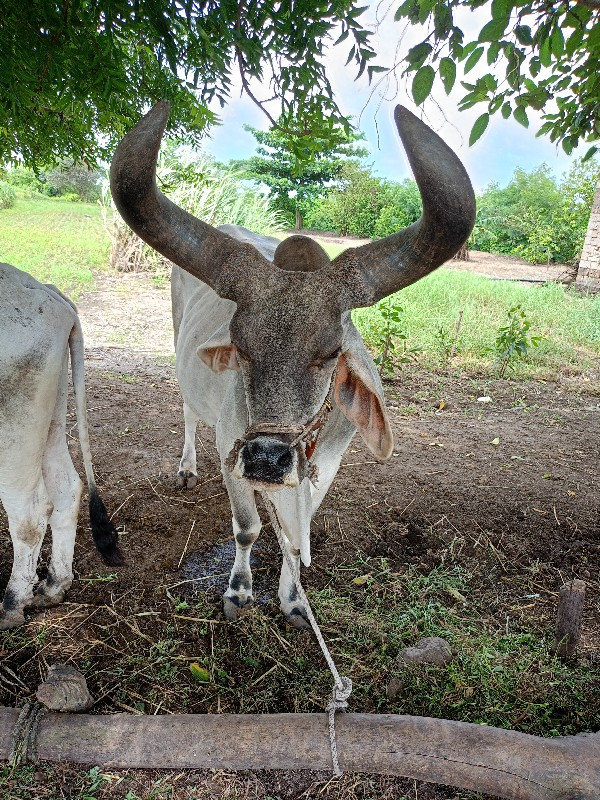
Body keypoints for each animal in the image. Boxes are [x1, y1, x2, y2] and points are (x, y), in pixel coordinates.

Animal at [0, 266, 122, 628]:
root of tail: (47, 291)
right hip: (50, 420)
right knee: (67, 488)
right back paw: (54, 584)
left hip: (16, 430)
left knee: (30, 514)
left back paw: (13, 603)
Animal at [112, 101, 476, 624]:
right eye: (241, 347)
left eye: (330, 352)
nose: (266, 458)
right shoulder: (231, 448)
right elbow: (247, 529)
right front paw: (239, 591)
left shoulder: (325, 463)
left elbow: (294, 539)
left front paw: (293, 598)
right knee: (187, 412)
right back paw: (186, 467)